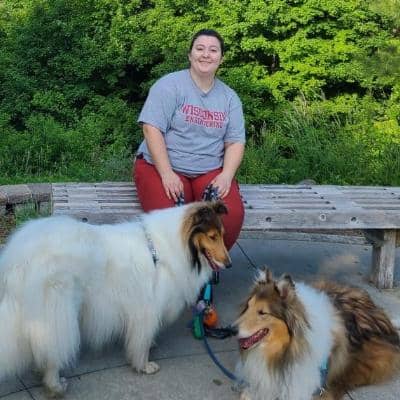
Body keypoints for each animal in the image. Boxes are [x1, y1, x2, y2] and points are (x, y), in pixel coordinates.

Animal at [0, 201, 231, 397]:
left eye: (222, 234)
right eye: (212, 236)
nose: (228, 264)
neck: (168, 247)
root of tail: (17, 259)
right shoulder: (147, 308)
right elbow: (142, 340)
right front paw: (144, 365)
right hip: (59, 311)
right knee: (53, 349)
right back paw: (55, 385)